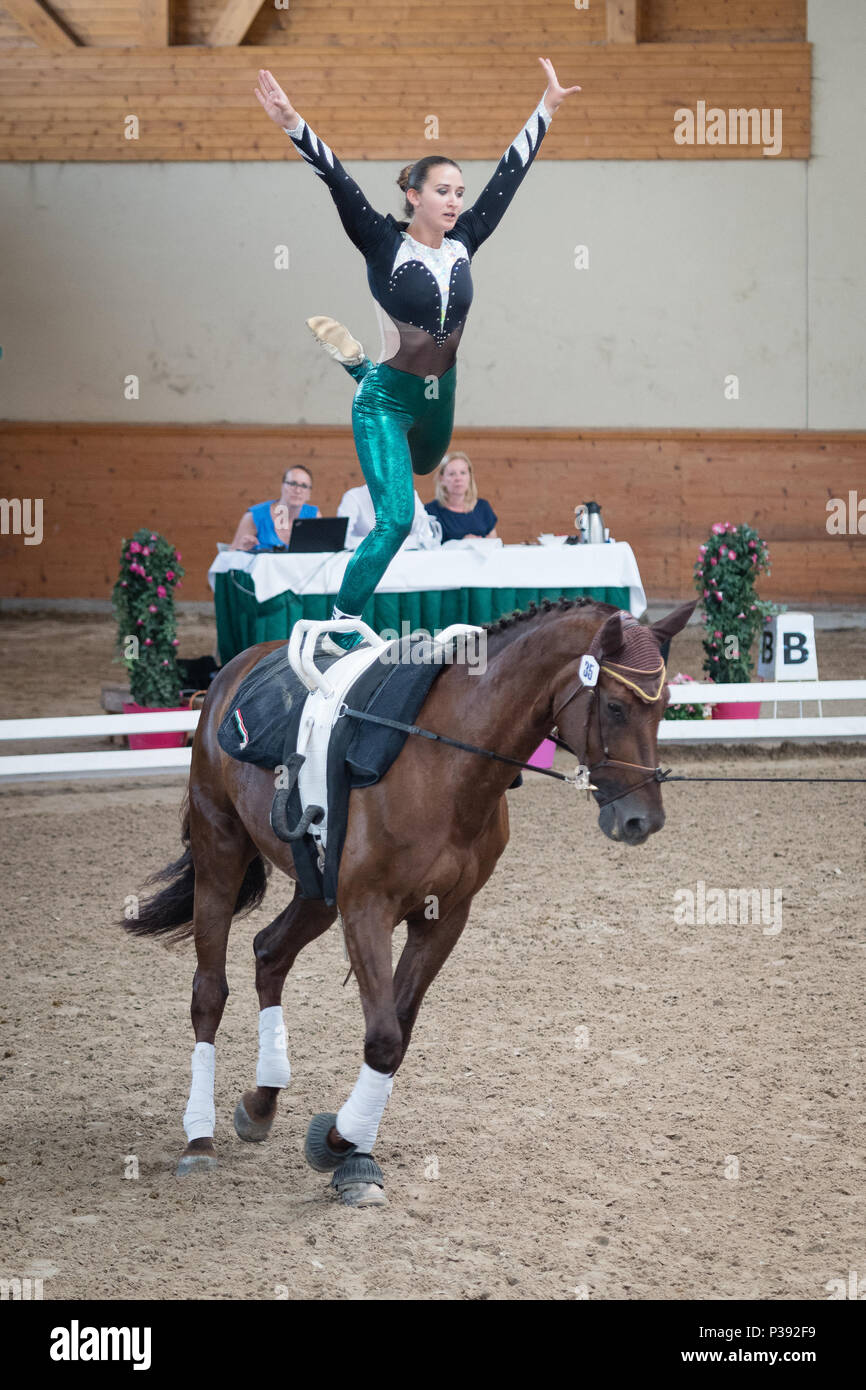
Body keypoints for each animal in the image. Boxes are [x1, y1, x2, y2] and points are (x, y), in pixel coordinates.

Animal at [128, 597, 695, 1206]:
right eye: (614, 705)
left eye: (665, 707)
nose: (642, 820)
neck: (445, 764)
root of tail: (239, 665)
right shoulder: (367, 909)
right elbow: (381, 1038)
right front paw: (342, 1151)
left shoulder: (443, 917)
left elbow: (396, 1033)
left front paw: (351, 1152)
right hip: (222, 853)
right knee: (209, 990)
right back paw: (199, 1139)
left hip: (317, 890)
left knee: (269, 953)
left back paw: (261, 1103)